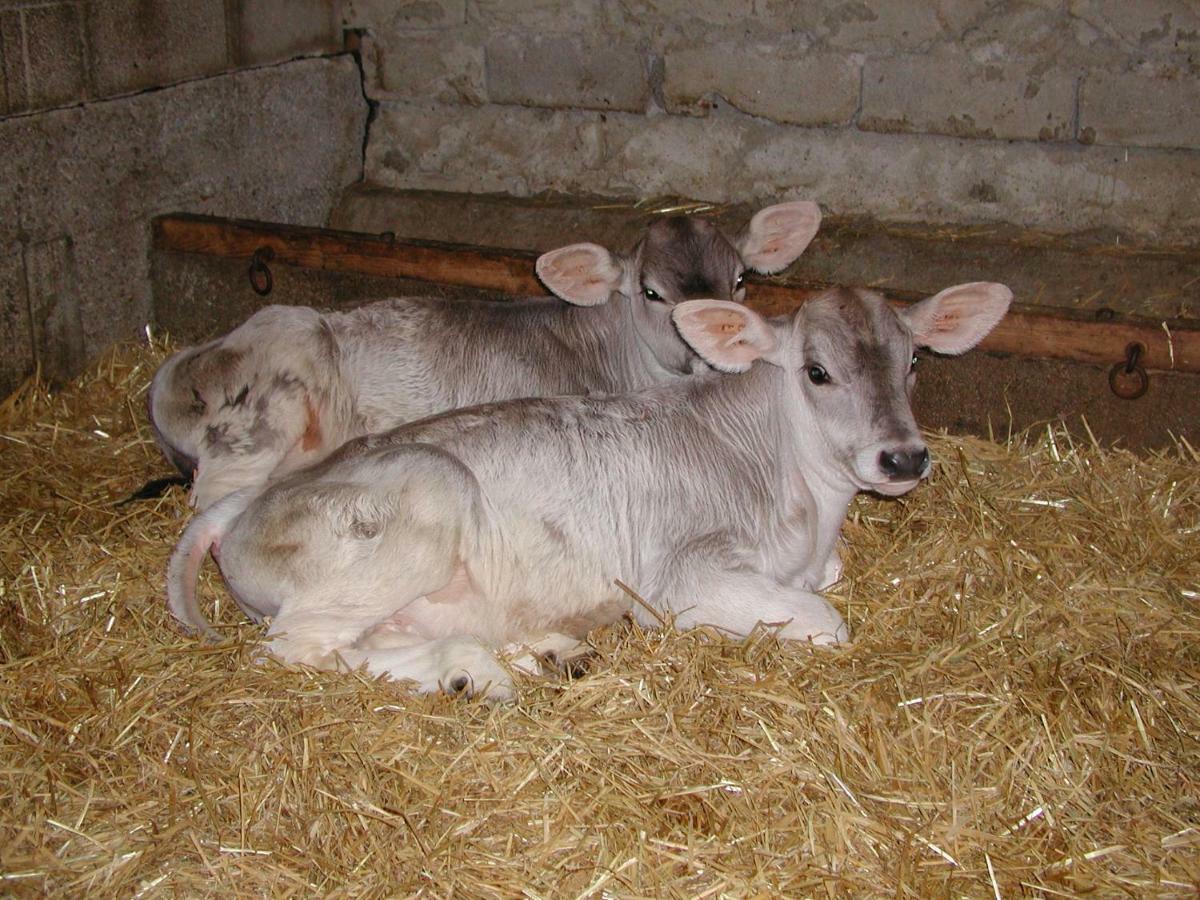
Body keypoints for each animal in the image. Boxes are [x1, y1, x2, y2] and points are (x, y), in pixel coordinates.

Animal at [169, 282, 1012, 696]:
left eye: (914, 361)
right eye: (817, 371)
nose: (903, 458)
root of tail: (240, 509)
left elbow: (829, 584)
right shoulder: (681, 578)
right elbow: (827, 621)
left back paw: (534, 653)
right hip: (422, 498)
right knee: (300, 649)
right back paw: (472, 674)